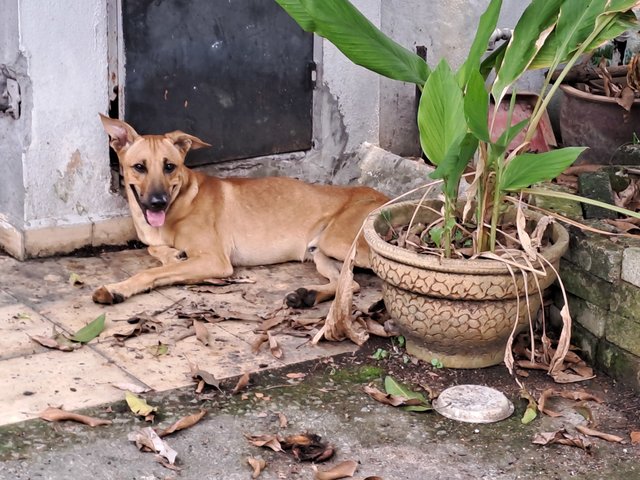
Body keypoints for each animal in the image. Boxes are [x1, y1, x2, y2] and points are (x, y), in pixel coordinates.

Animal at [92, 114, 388, 306]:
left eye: (169, 166)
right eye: (139, 167)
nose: (158, 202)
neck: (180, 202)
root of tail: (384, 196)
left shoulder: (215, 261)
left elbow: (150, 272)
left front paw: (117, 288)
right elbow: (154, 250)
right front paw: (171, 255)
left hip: (338, 241)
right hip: (321, 252)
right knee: (349, 283)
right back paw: (308, 296)